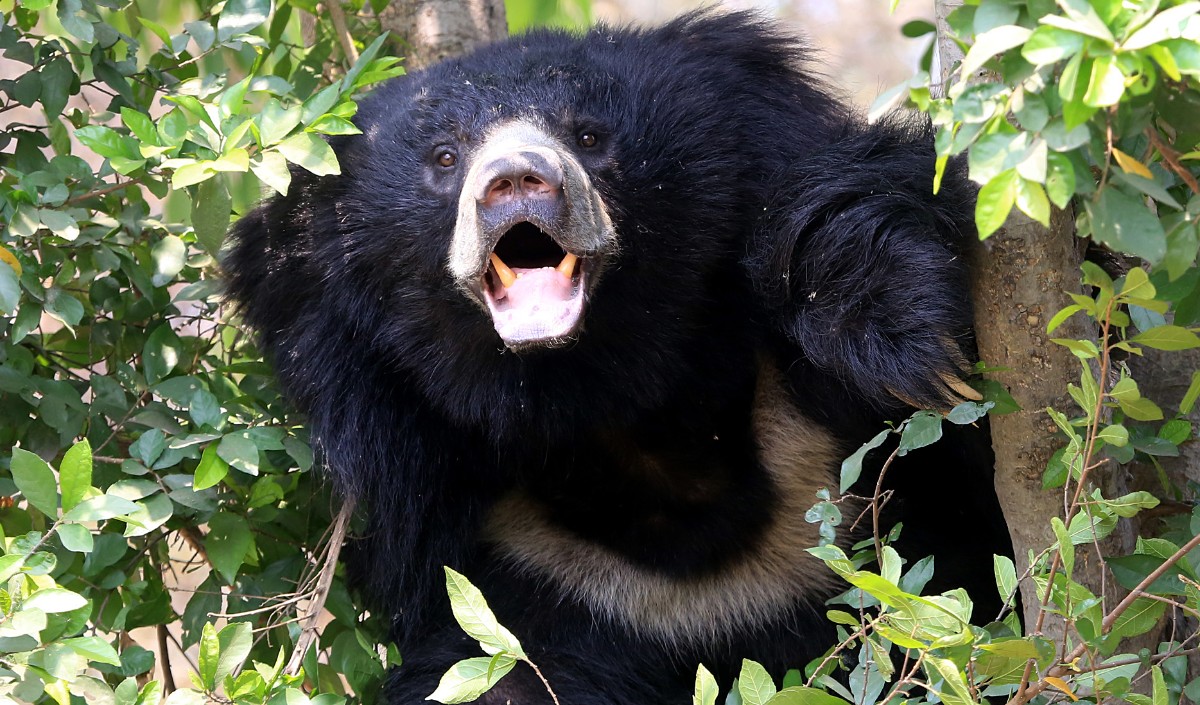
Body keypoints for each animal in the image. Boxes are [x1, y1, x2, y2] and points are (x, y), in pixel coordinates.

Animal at [224, 10, 1012, 705]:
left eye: (590, 135)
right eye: (445, 158)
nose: (517, 179)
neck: (615, 404)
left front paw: (912, 339)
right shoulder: (523, 559)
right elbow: (498, 669)